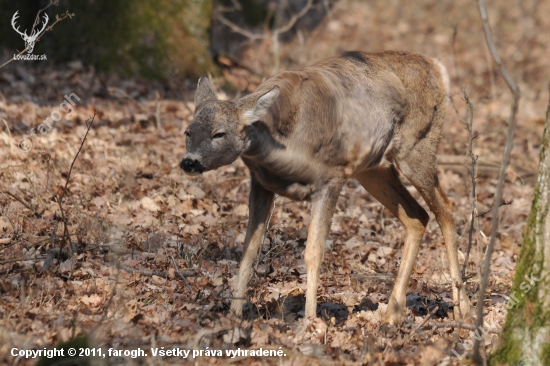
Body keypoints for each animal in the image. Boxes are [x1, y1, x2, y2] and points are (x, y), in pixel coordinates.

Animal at [182, 50, 474, 324]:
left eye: (219, 133)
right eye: (187, 131)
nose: (189, 162)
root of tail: (437, 66)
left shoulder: (331, 177)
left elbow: (314, 252)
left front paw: (309, 322)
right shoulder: (261, 183)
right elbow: (249, 249)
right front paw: (234, 317)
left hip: (417, 148)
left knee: (445, 210)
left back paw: (463, 309)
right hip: (371, 168)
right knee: (417, 216)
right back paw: (392, 312)